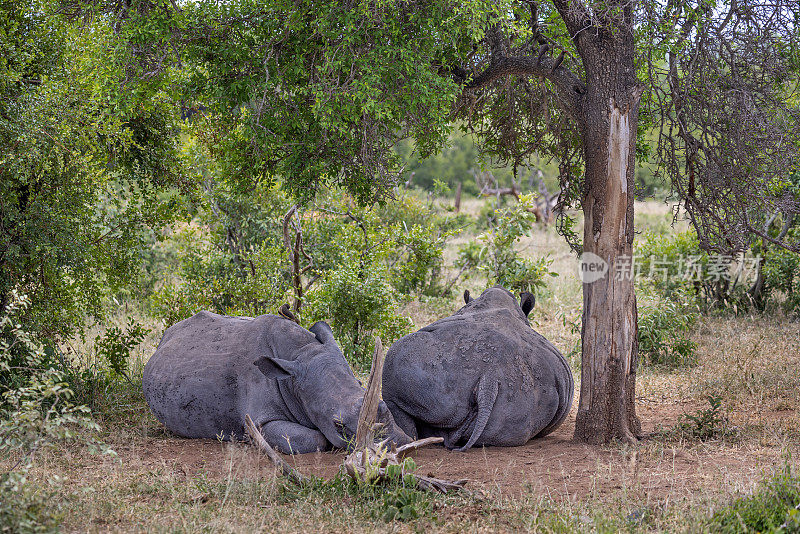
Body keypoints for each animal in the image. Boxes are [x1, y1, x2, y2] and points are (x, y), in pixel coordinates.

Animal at [141, 314, 412, 456]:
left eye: (382, 404)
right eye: (338, 426)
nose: (394, 443)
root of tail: (166, 336)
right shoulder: (260, 422)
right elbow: (315, 439)